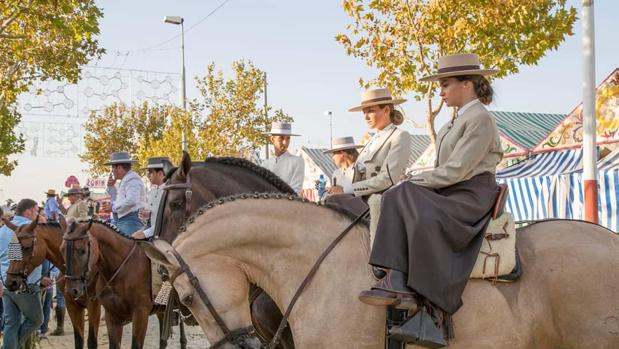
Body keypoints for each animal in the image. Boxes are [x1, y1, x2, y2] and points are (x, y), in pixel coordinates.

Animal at [5, 218, 103, 348]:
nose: (10, 282)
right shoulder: (71, 304)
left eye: (26, 247)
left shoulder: (94, 305)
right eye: (10, 247)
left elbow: (92, 341)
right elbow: (78, 339)